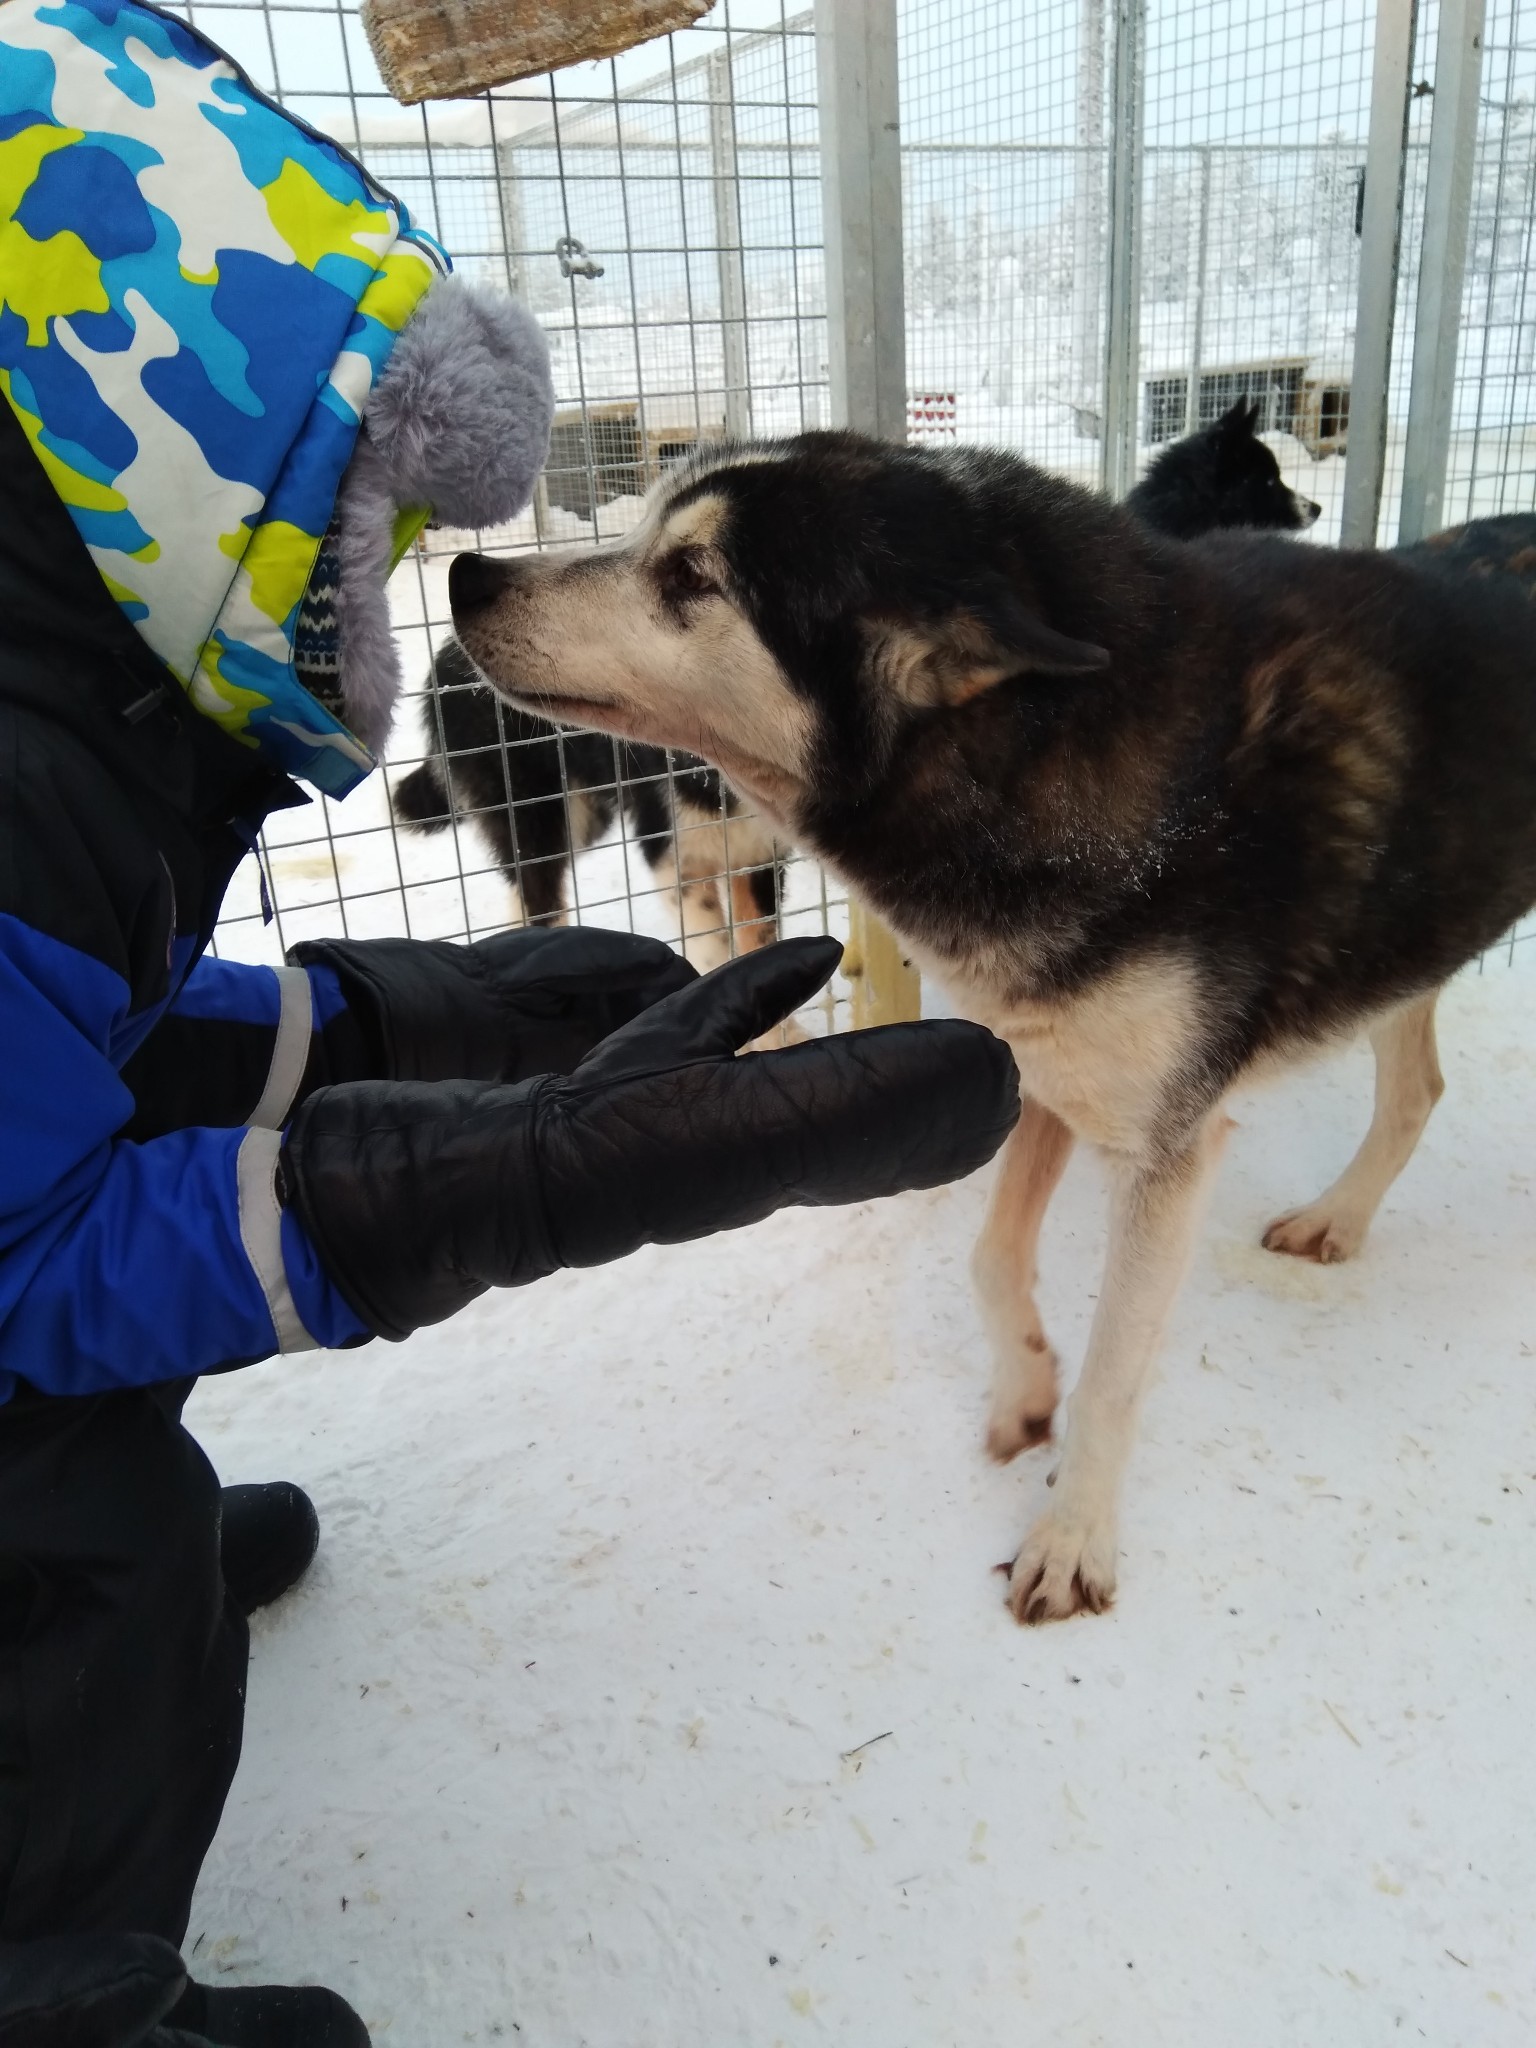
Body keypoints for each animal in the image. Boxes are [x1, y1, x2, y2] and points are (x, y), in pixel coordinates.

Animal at [444, 440, 1536, 1622]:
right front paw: (1023, 1393)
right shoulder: (1042, 1067)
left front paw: (1073, 1539)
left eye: (693, 573)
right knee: (1418, 1089)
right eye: (647, 525)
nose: (465, 573)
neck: (1053, 761)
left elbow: (1113, 1372)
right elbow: (989, 1257)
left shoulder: (1165, 1146)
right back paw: (1338, 1218)